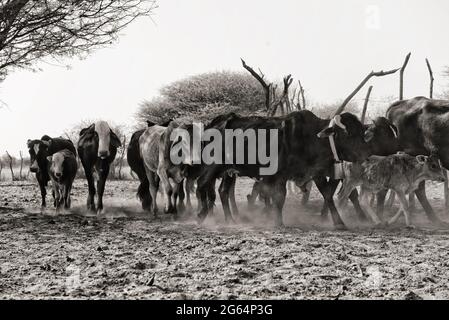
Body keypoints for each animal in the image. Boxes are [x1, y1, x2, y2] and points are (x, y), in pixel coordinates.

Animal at [192, 111, 372, 229]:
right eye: (347, 133)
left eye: (361, 132)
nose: (366, 154)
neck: (310, 137)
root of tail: (218, 121)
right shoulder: (280, 175)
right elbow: (279, 197)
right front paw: (278, 222)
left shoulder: (315, 172)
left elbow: (327, 195)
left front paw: (339, 222)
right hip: (213, 165)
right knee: (202, 184)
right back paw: (201, 215)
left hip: (229, 171)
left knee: (222, 191)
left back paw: (229, 220)